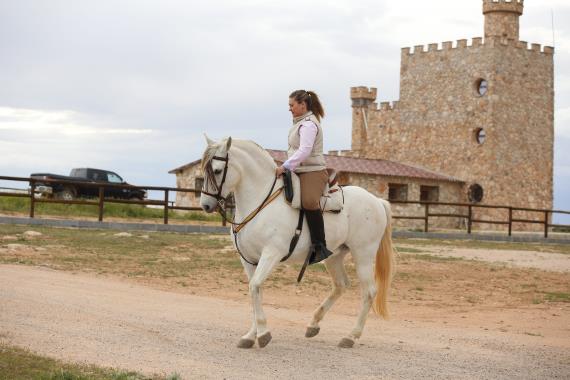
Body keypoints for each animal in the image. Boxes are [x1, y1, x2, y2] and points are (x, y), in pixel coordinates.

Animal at [201, 135, 394, 348]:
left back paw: (350, 336)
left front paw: (263, 334)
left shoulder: (271, 254)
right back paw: (313, 324)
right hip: (334, 256)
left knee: (369, 292)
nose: (206, 205)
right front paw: (251, 336)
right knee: (341, 285)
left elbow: (255, 287)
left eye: (217, 171)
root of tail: (376, 201)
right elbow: (255, 290)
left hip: (363, 255)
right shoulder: (249, 260)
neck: (261, 202)